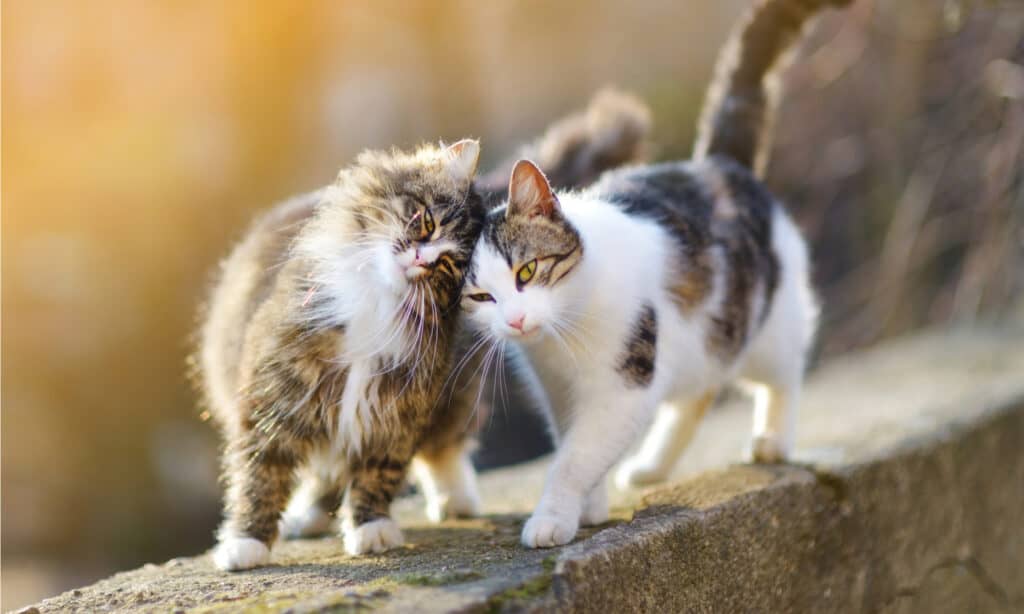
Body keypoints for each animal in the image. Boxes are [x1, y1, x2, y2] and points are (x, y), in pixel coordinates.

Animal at [195, 88, 651, 568]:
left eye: (448, 265)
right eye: (426, 222)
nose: (421, 258)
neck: (378, 304)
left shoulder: (398, 405)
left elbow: (377, 472)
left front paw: (370, 528)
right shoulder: (280, 394)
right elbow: (260, 476)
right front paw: (246, 542)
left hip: (455, 394)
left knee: (441, 449)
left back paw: (455, 499)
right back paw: (310, 517)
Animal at [460, 0, 851, 548]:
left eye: (528, 270)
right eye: (479, 297)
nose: (515, 322)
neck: (564, 336)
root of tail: (716, 163)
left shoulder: (624, 386)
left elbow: (574, 458)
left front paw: (553, 517)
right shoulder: (559, 391)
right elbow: (574, 446)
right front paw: (591, 506)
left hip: (766, 325)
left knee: (784, 374)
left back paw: (772, 439)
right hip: (699, 343)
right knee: (697, 395)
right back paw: (652, 466)